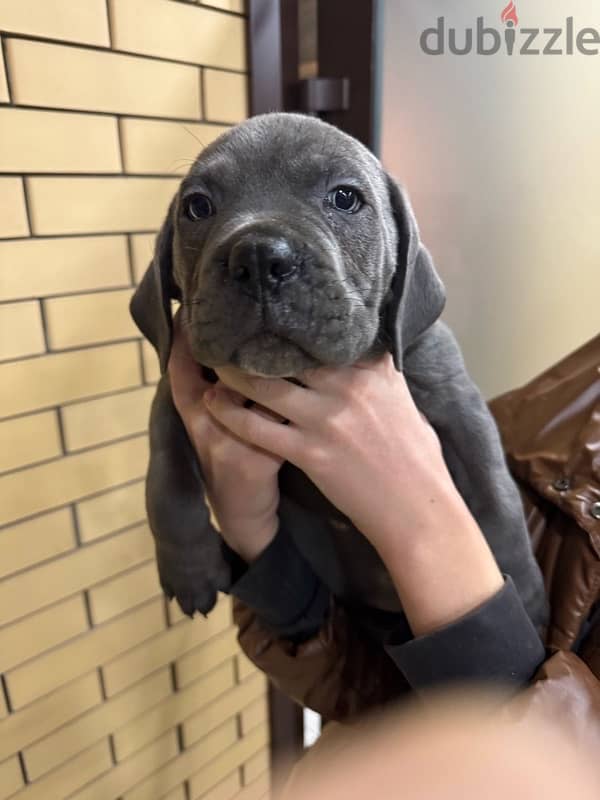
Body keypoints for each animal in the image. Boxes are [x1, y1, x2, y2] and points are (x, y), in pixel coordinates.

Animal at [130, 109, 548, 628]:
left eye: (345, 198)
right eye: (198, 206)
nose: (259, 254)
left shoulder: (459, 407)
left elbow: (497, 495)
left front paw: (526, 595)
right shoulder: (173, 395)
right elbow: (167, 485)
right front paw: (189, 571)